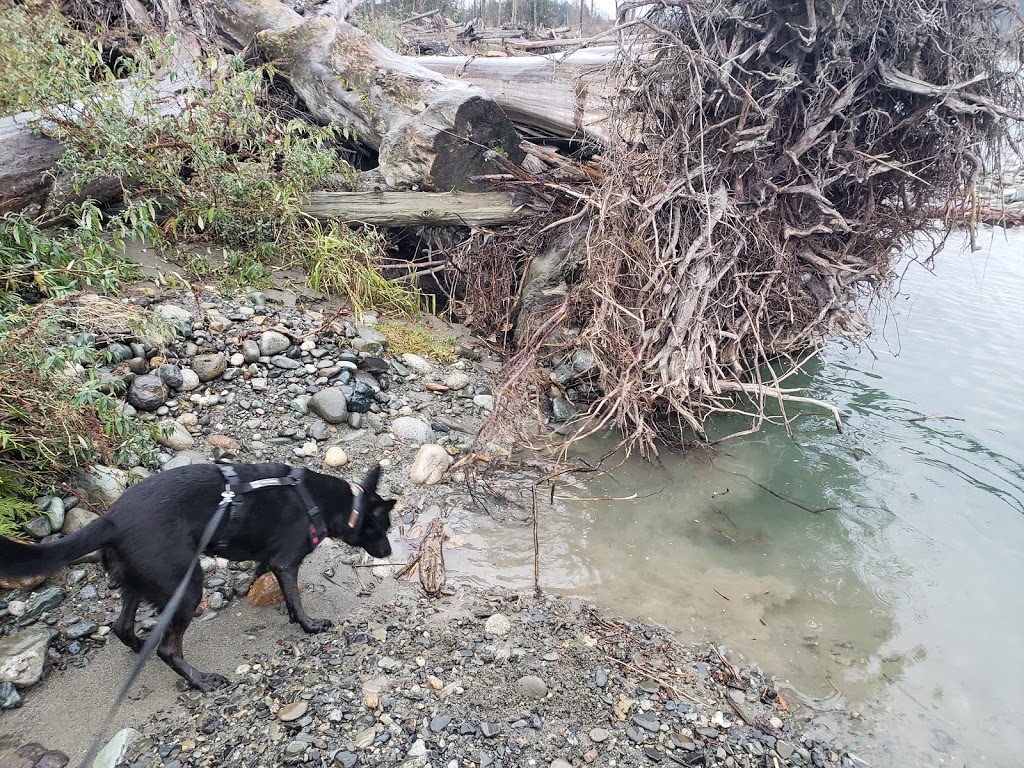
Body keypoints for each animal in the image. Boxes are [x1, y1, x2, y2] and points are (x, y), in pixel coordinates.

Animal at [0, 462, 393, 692]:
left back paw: (140, 646)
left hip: (144, 581)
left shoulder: (271, 559)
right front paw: (309, 625)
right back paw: (202, 681)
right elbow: (294, 598)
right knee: (168, 648)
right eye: (384, 527)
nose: (390, 553)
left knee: (123, 627)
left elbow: (261, 571)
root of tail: (111, 520)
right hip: (186, 587)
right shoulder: (287, 561)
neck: (325, 501)